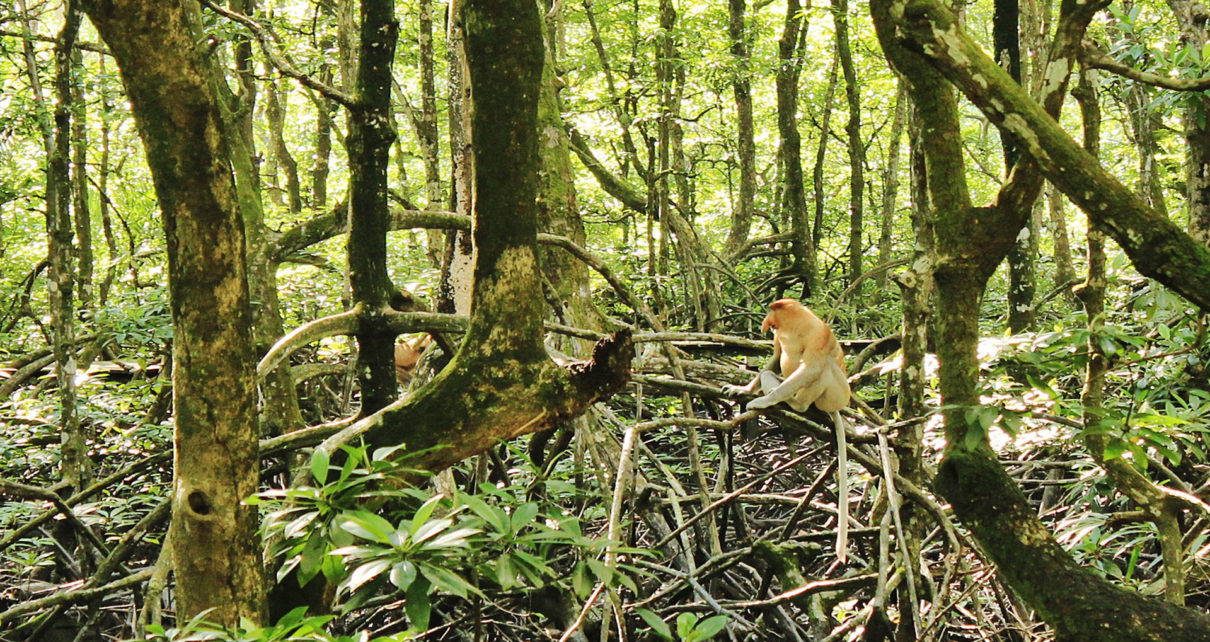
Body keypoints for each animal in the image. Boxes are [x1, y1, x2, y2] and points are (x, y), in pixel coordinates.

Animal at [721, 298, 856, 560]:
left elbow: (811, 367)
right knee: (769, 372)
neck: (796, 327)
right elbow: (775, 358)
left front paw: (762, 400)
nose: (766, 322)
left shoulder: (819, 335)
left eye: (772, 311)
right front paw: (742, 389)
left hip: (837, 395)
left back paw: (795, 404)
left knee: (821, 367)